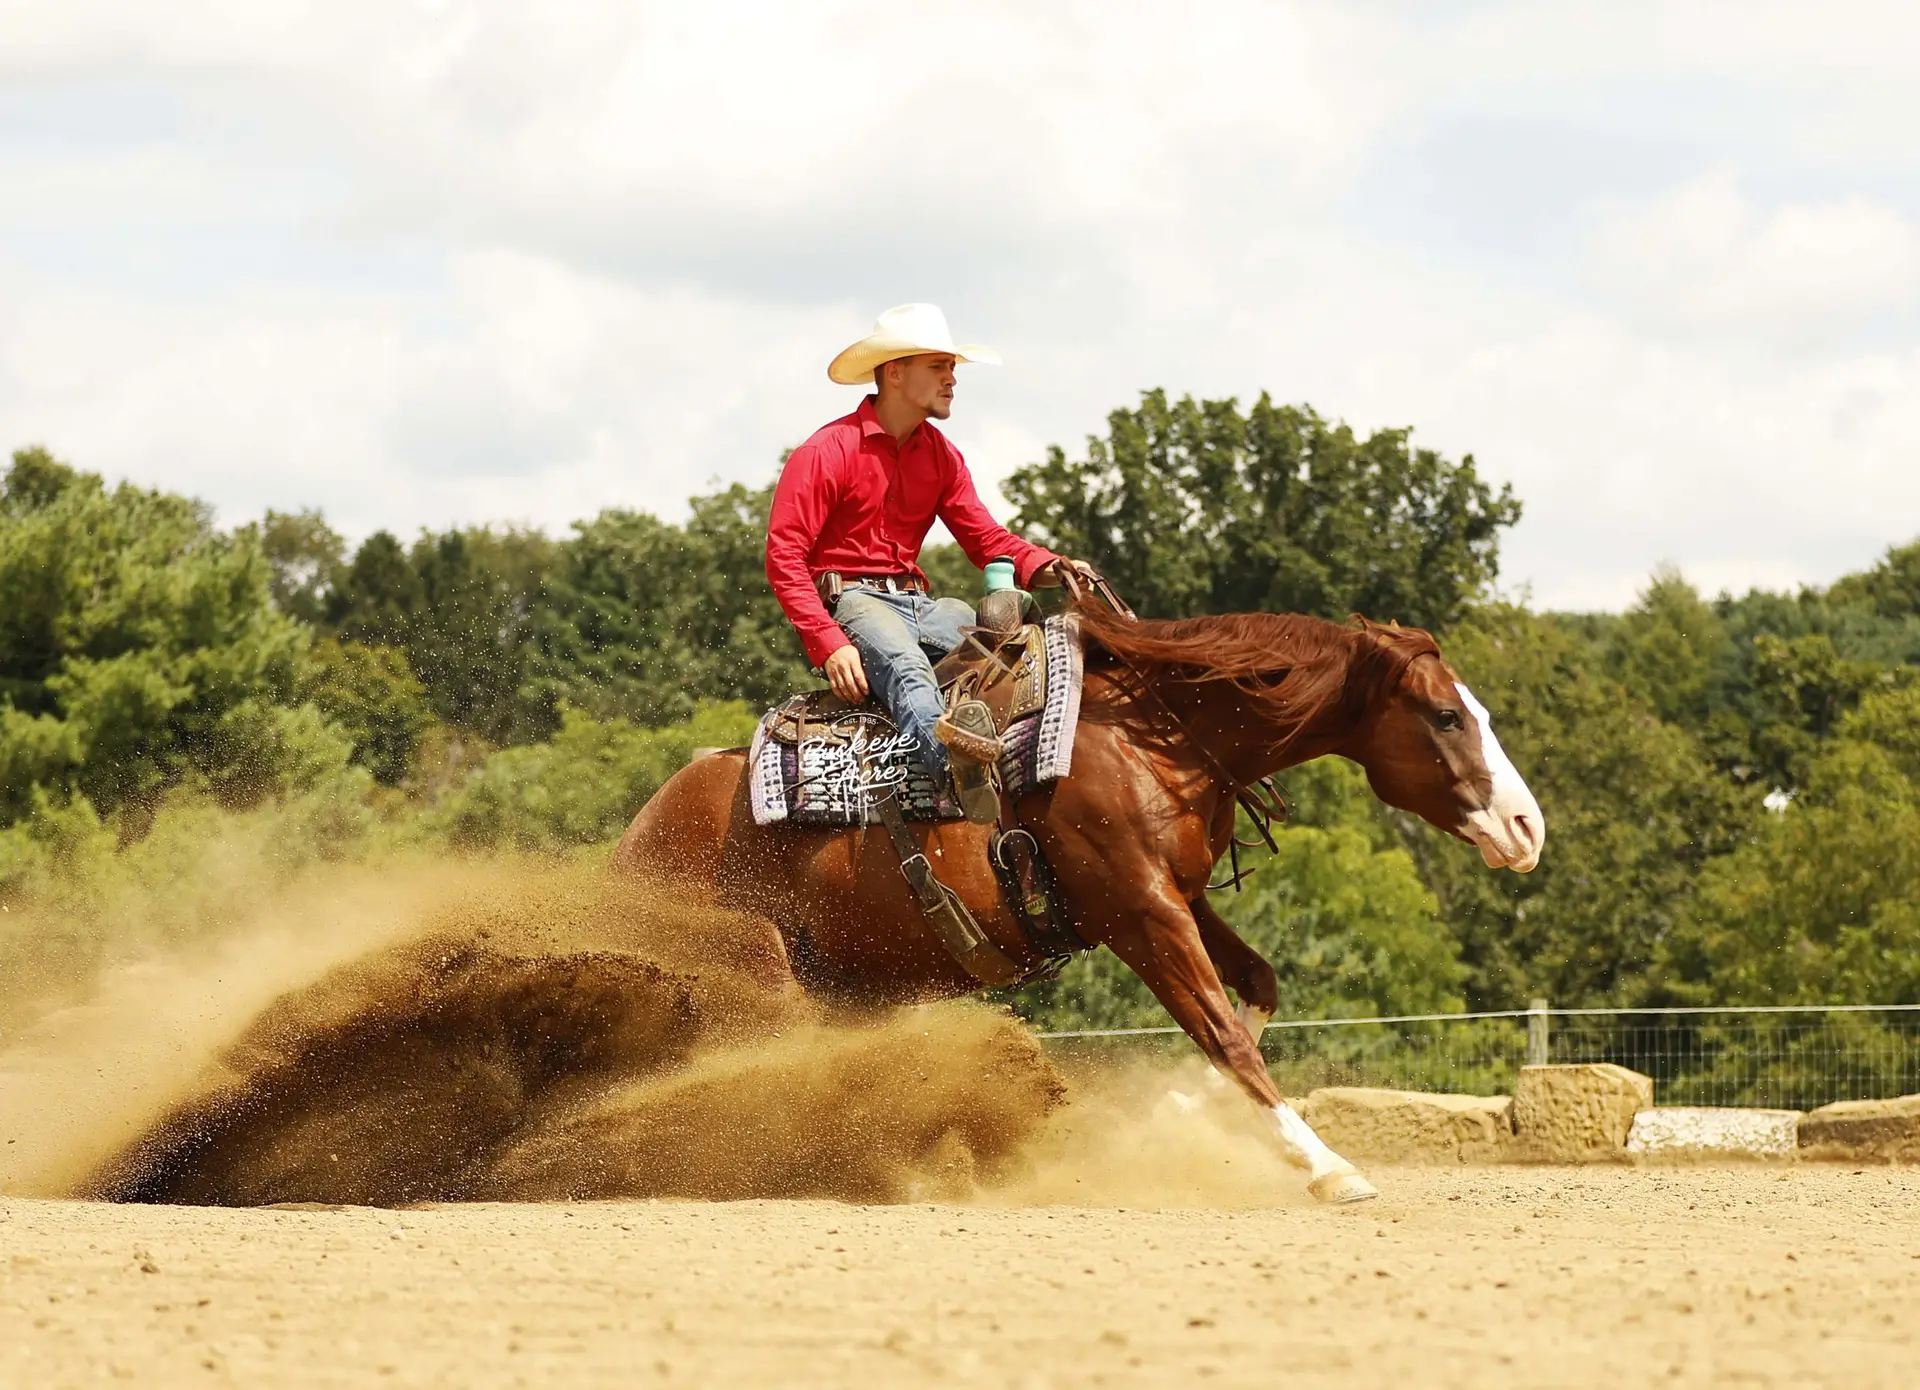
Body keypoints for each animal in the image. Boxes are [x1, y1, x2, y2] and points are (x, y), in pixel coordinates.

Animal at [611, 605, 1545, 1204]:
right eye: (1445, 716)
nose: (1526, 826)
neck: (1150, 739)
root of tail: (638, 835)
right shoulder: (1140, 914)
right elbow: (1227, 1037)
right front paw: (1325, 1164)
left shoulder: (1179, 898)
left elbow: (1257, 992)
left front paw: (1180, 1107)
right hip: (757, 970)